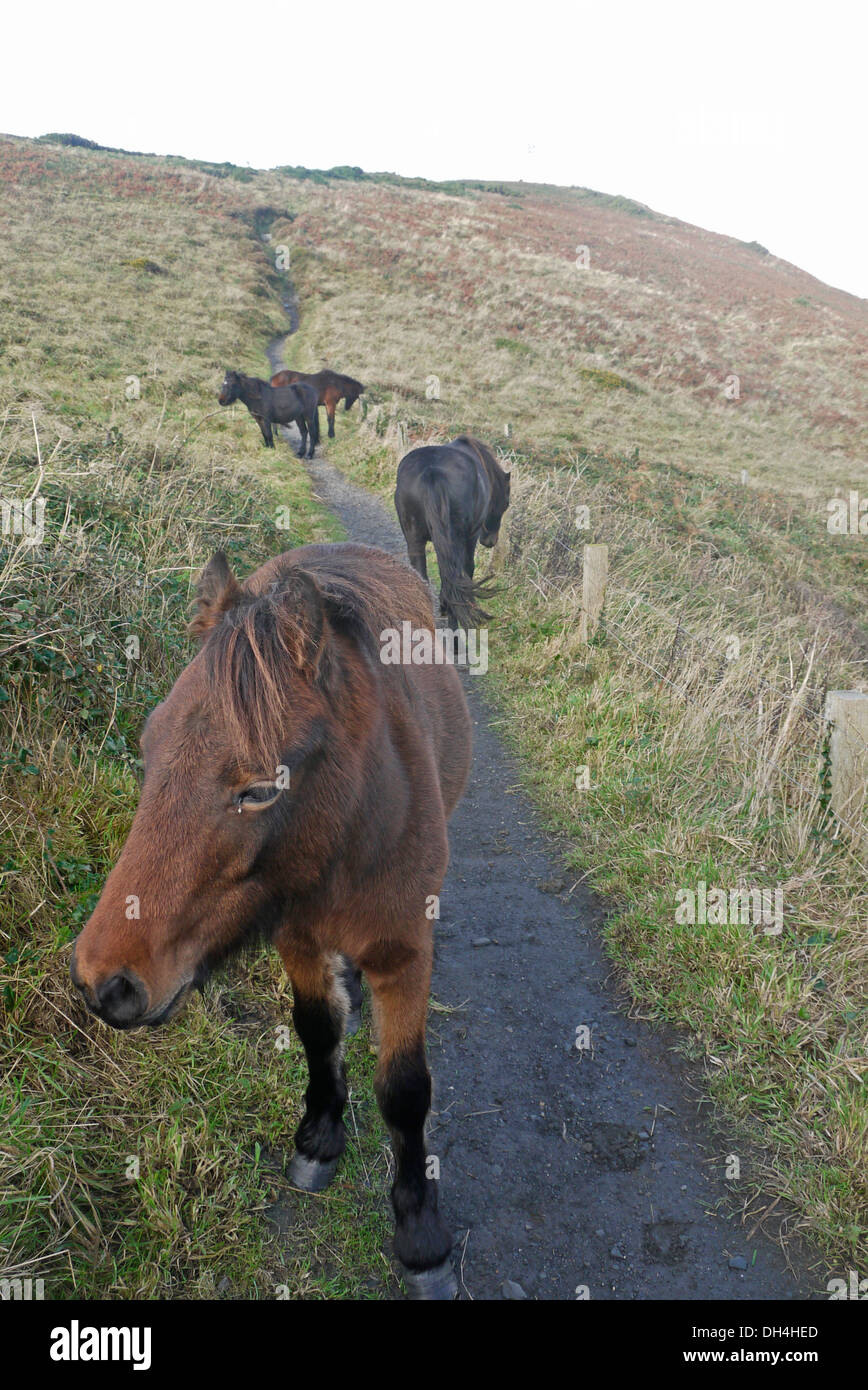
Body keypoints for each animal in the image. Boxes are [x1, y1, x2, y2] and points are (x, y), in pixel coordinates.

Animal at [69, 542, 472, 1300]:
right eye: (148, 747)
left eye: (258, 791)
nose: (103, 984)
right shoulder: (297, 937)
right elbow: (317, 1032)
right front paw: (319, 1137)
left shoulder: (406, 955)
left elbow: (405, 1092)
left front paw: (421, 1238)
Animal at [394, 435, 511, 629]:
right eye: (506, 503)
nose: (490, 541)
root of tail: (431, 472)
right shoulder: (470, 539)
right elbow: (467, 570)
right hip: (458, 540)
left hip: (415, 540)